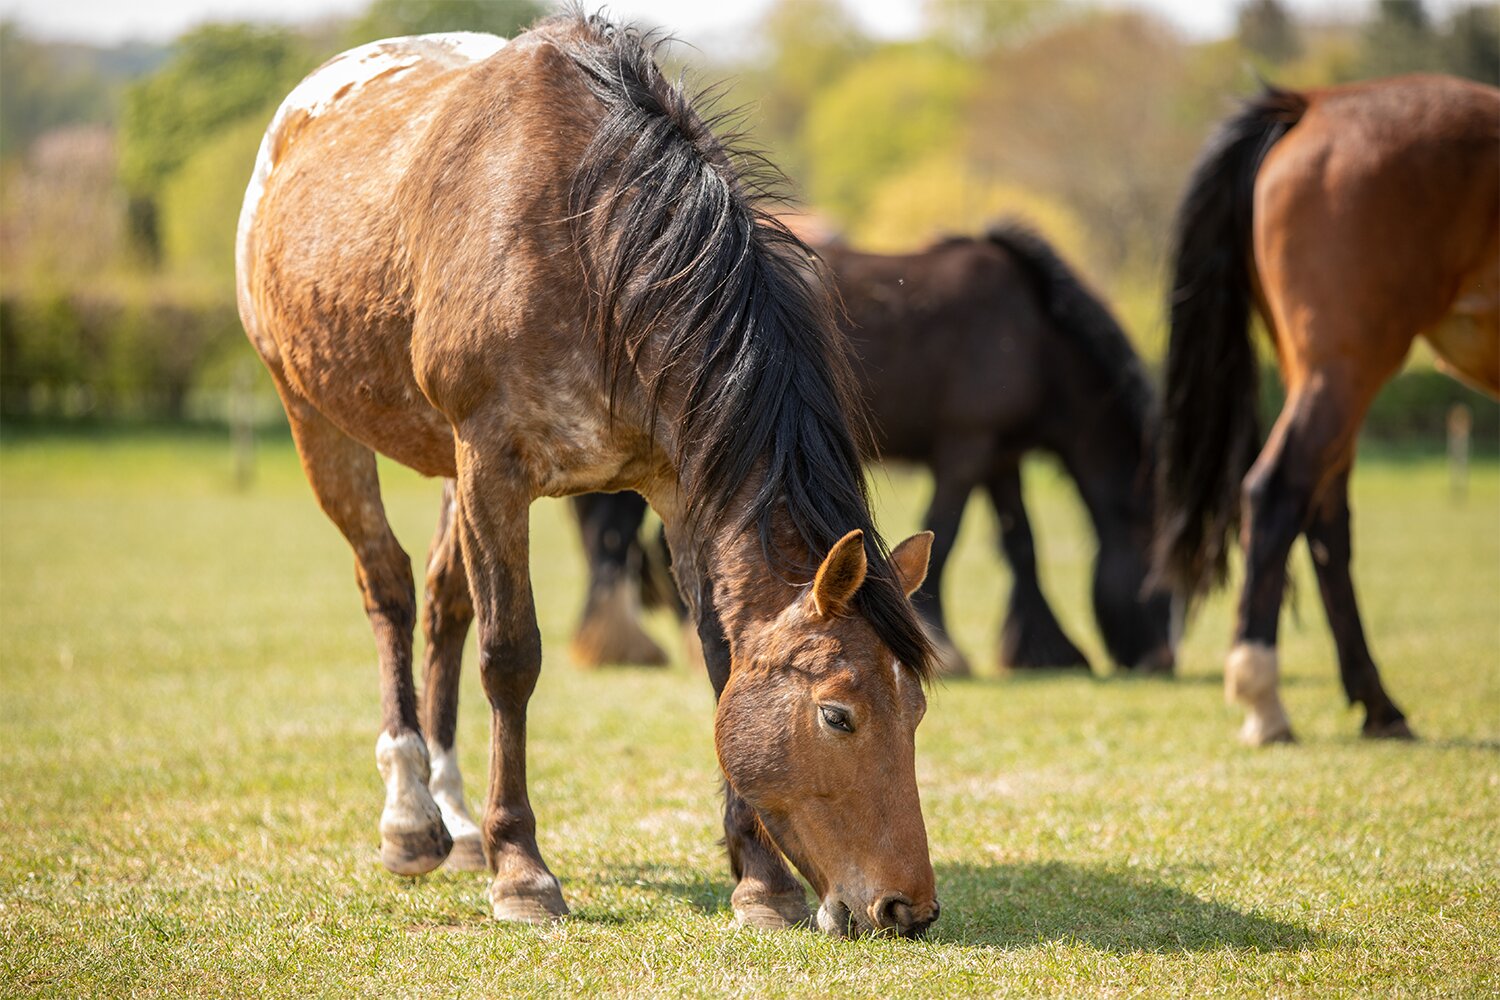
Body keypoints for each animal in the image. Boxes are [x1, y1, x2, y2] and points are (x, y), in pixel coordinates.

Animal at [235, 11, 942, 941]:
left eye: (917, 709)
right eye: (838, 714)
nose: (909, 908)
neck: (591, 245)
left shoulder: (680, 488)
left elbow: (718, 658)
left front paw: (759, 882)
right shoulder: (494, 464)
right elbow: (511, 656)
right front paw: (522, 871)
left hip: (444, 464)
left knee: (442, 602)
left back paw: (455, 818)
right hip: (316, 417)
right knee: (386, 586)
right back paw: (413, 818)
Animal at [567, 224, 1176, 680]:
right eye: (1159, 580)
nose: (1162, 660)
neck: (1033, 333)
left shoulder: (1002, 458)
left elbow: (1020, 544)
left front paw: (1044, 651)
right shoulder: (965, 450)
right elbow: (947, 535)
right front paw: (948, 647)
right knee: (616, 536)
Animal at [1152, 74, 1494, 746]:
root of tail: (1309, 104)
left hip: (1316, 371)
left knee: (1324, 513)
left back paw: (1378, 705)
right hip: (1343, 367)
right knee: (1278, 491)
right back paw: (1265, 700)